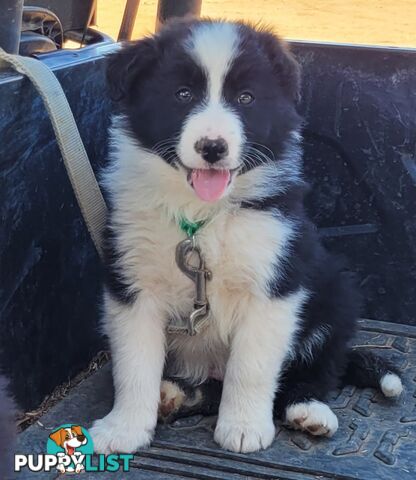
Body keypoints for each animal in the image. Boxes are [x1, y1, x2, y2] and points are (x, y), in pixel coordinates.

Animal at [89, 18, 402, 454]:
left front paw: (243, 427)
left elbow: (251, 366)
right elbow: (134, 365)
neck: (202, 216)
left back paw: (308, 408)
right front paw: (124, 429)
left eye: (246, 98)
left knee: (321, 365)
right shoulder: (133, 284)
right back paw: (175, 395)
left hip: (335, 291)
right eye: (182, 94)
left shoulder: (274, 283)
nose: (212, 147)